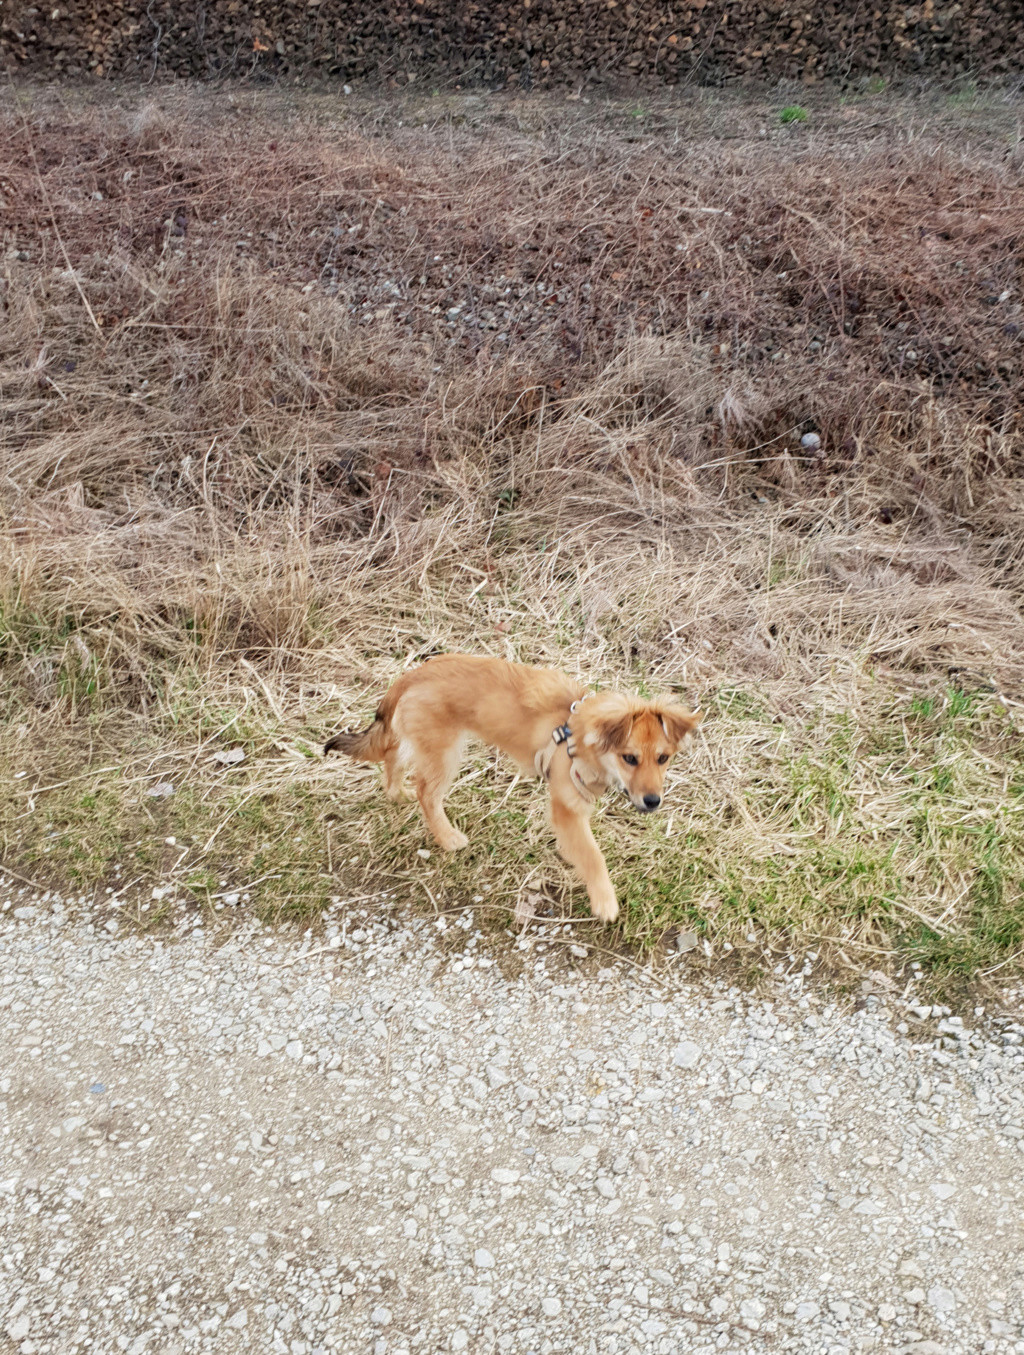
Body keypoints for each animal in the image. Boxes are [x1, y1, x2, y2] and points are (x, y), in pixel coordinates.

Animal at [323, 653, 698, 921]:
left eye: (663, 758)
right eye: (629, 758)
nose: (653, 801)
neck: (580, 736)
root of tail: (411, 676)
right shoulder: (567, 810)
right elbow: (593, 856)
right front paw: (604, 899)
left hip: (421, 743)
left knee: (392, 757)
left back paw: (395, 793)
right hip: (445, 753)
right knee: (426, 793)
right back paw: (446, 837)